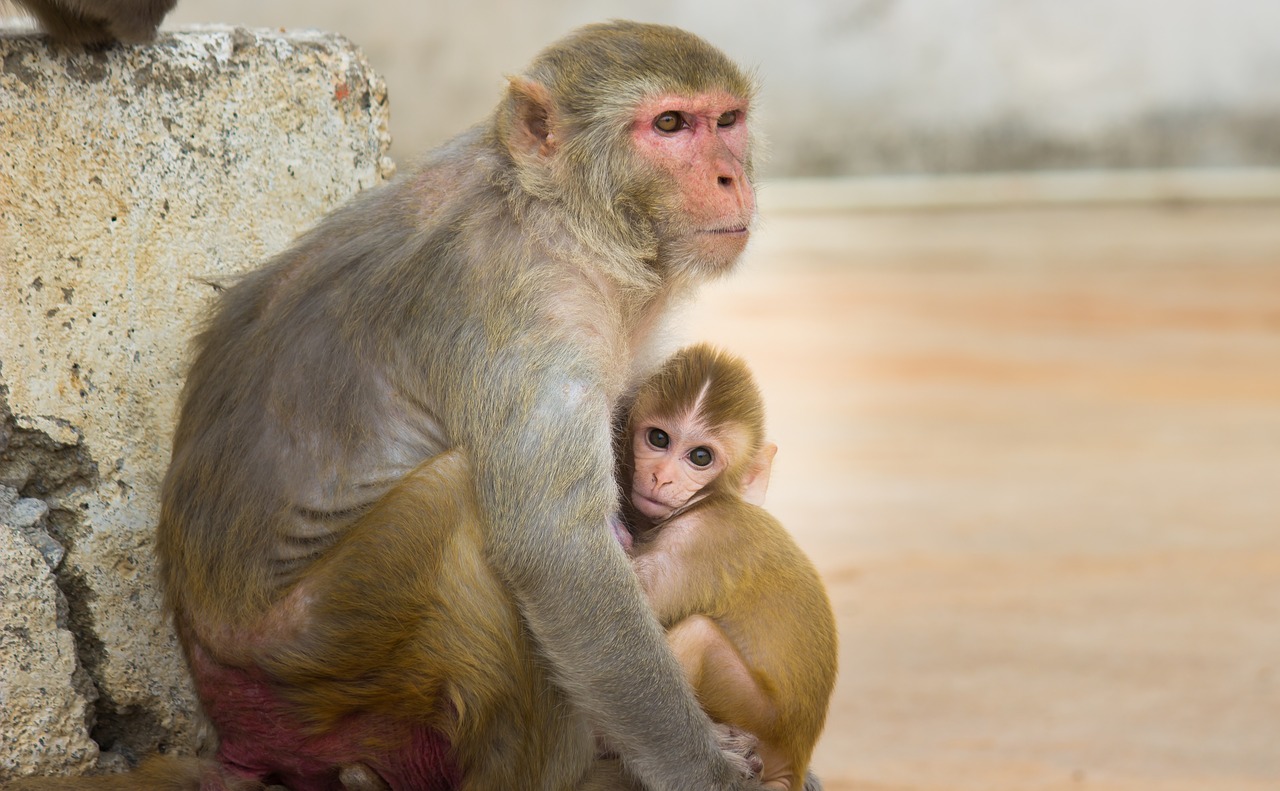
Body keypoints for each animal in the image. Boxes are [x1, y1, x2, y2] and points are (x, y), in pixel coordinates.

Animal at [4, 21, 767, 791]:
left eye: (727, 121)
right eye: (669, 125)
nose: (732, 176)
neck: (558, 213)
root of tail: (234, 725)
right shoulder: (530, 315)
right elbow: (557, 551)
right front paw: (705, 769)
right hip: (327, 656)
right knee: (461, 503)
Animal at [615, 343, 839, 791]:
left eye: (700, 457)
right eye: (658, 438)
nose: (660, 477)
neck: (709, 501)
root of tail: (796, 755)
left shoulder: (696, 540)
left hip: (761, 718)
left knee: (697, 634)